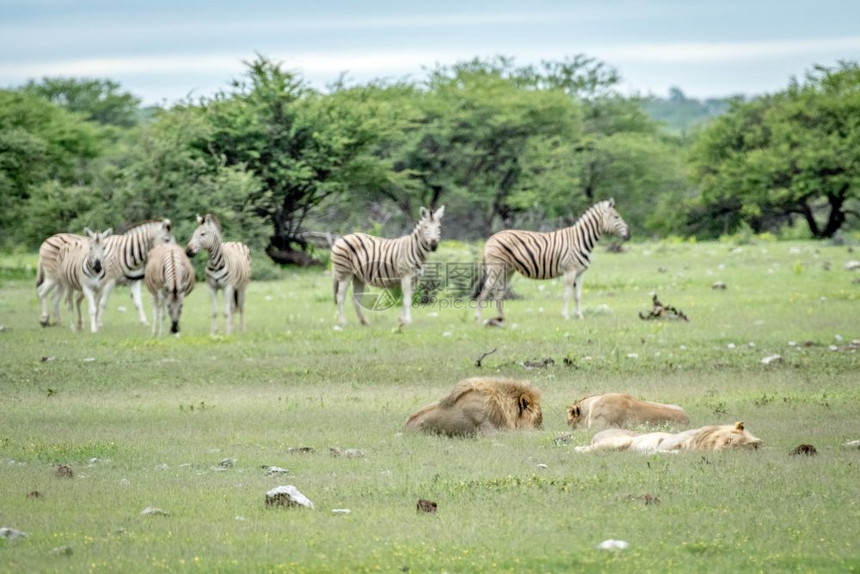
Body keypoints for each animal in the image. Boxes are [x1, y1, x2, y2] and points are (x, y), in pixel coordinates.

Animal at [35, 219, 173, 328]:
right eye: (167, 240)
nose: (173, 254)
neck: (127, 253)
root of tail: (47, 239)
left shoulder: (134, 282)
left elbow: (138, 303)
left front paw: (144, 322)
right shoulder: (109, 281)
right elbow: (102, 303)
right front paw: (99, 322)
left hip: (62, 280)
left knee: (55, 298)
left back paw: (59, 322)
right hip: (53, 276)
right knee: (41, 292)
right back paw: (44, 319)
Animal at [474, 199, 628, 324]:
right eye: (616, 217)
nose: (629, 233)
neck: (581, 240)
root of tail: (491, 238)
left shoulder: (580, 273)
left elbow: (577, 296)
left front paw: (579, 316)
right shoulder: (570, 271)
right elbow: (566, 294)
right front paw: (566, 315)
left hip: (508, 270)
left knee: (499, 292)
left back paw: (501, 318)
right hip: (496, 268)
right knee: (486, 290)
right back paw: (479, 318)